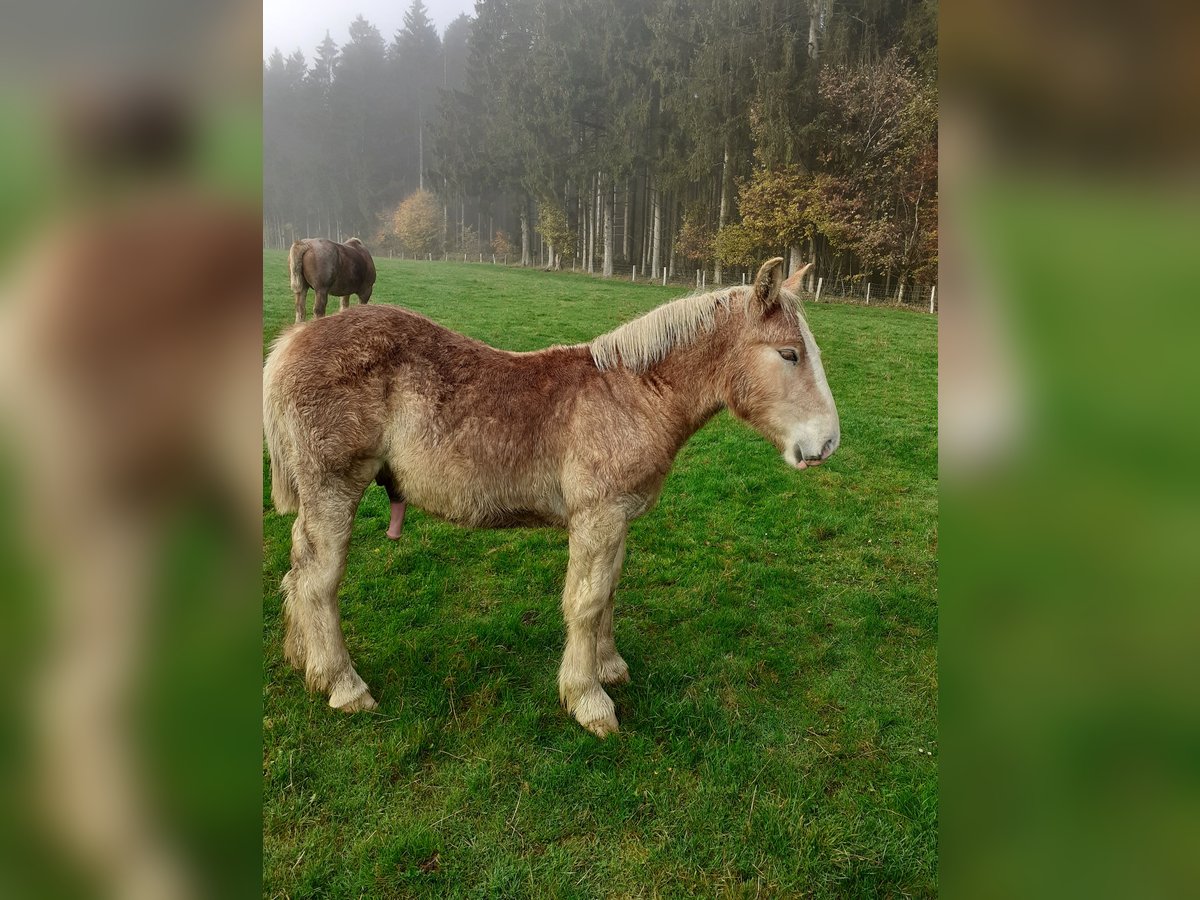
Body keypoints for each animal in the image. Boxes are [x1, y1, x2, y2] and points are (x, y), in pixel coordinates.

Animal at [265, 256, 844, 734]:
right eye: (790, 354)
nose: (827, 443)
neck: (632, 396)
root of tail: (289, 342)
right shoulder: (598, 516)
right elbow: (585, 601)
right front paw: (588, 700)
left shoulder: (617, 518)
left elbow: (608, 590)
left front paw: (609, 667)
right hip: (333, 490)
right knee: (318, 583)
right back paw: (343, 685)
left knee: (296, 573)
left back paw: (303, 662)